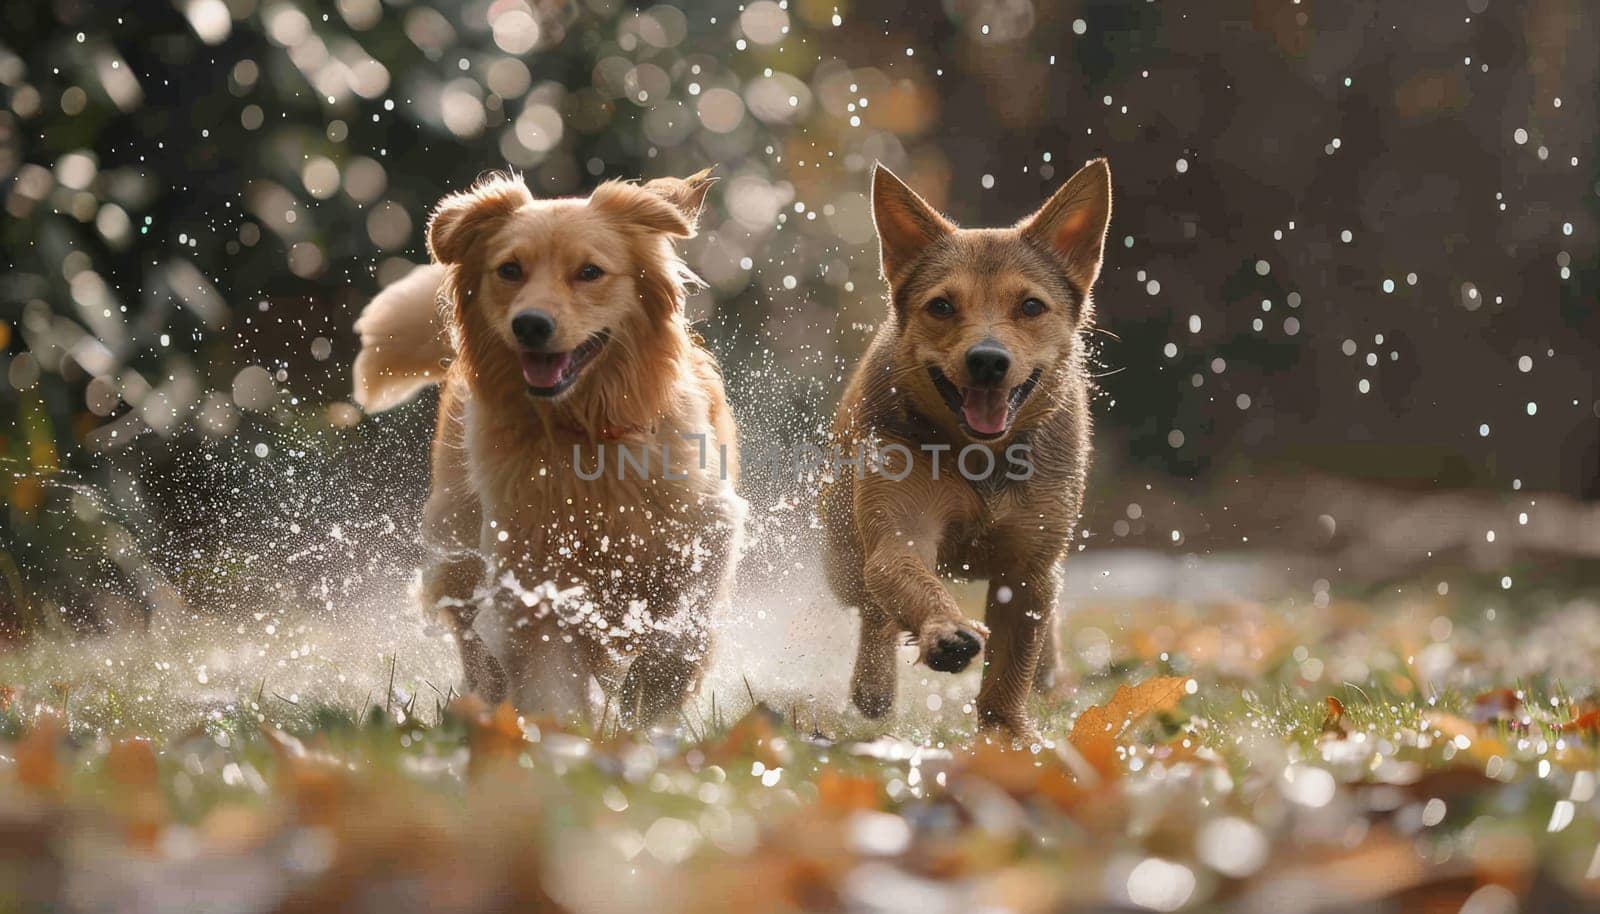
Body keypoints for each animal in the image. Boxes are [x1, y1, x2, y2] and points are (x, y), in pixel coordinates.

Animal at [819, 159, 1107, 742]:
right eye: (942, 305)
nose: (988, 359)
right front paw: (946, 633)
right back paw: (874, 689)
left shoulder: (1029, 571)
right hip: (843, 555)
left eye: (1031, 305)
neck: (981, 458)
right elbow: (905, 582)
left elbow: (1012, 668)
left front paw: (1009, 736)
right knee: (872, 610)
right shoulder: (899, 532)